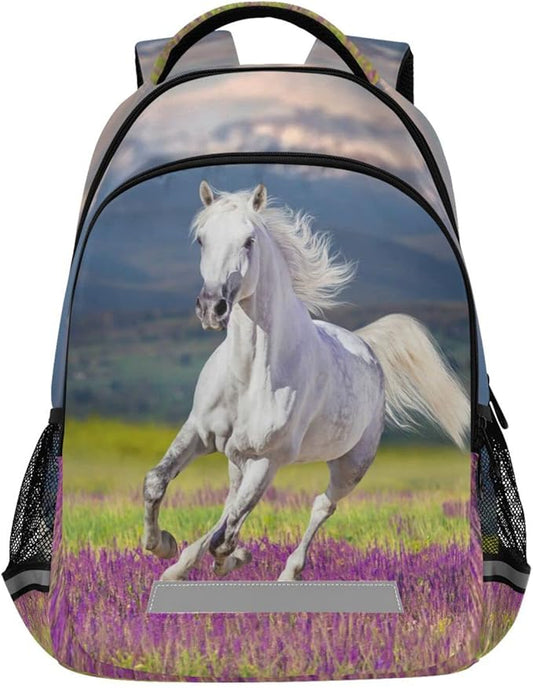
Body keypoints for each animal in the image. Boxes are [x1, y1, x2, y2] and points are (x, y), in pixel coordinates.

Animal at [142, 181, 469, 581]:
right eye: (202, 239)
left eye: (249, 241)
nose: (212, 308)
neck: (249, 375)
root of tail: (365, 346)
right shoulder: (199, 432)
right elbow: (157, 482)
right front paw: (163, 545)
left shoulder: (267, 459)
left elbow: (228, 533)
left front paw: (228, 559)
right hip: (238, 458)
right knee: (230, 501)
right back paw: (180, 566)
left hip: (350, 465)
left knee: (320, 506)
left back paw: (286, 572)